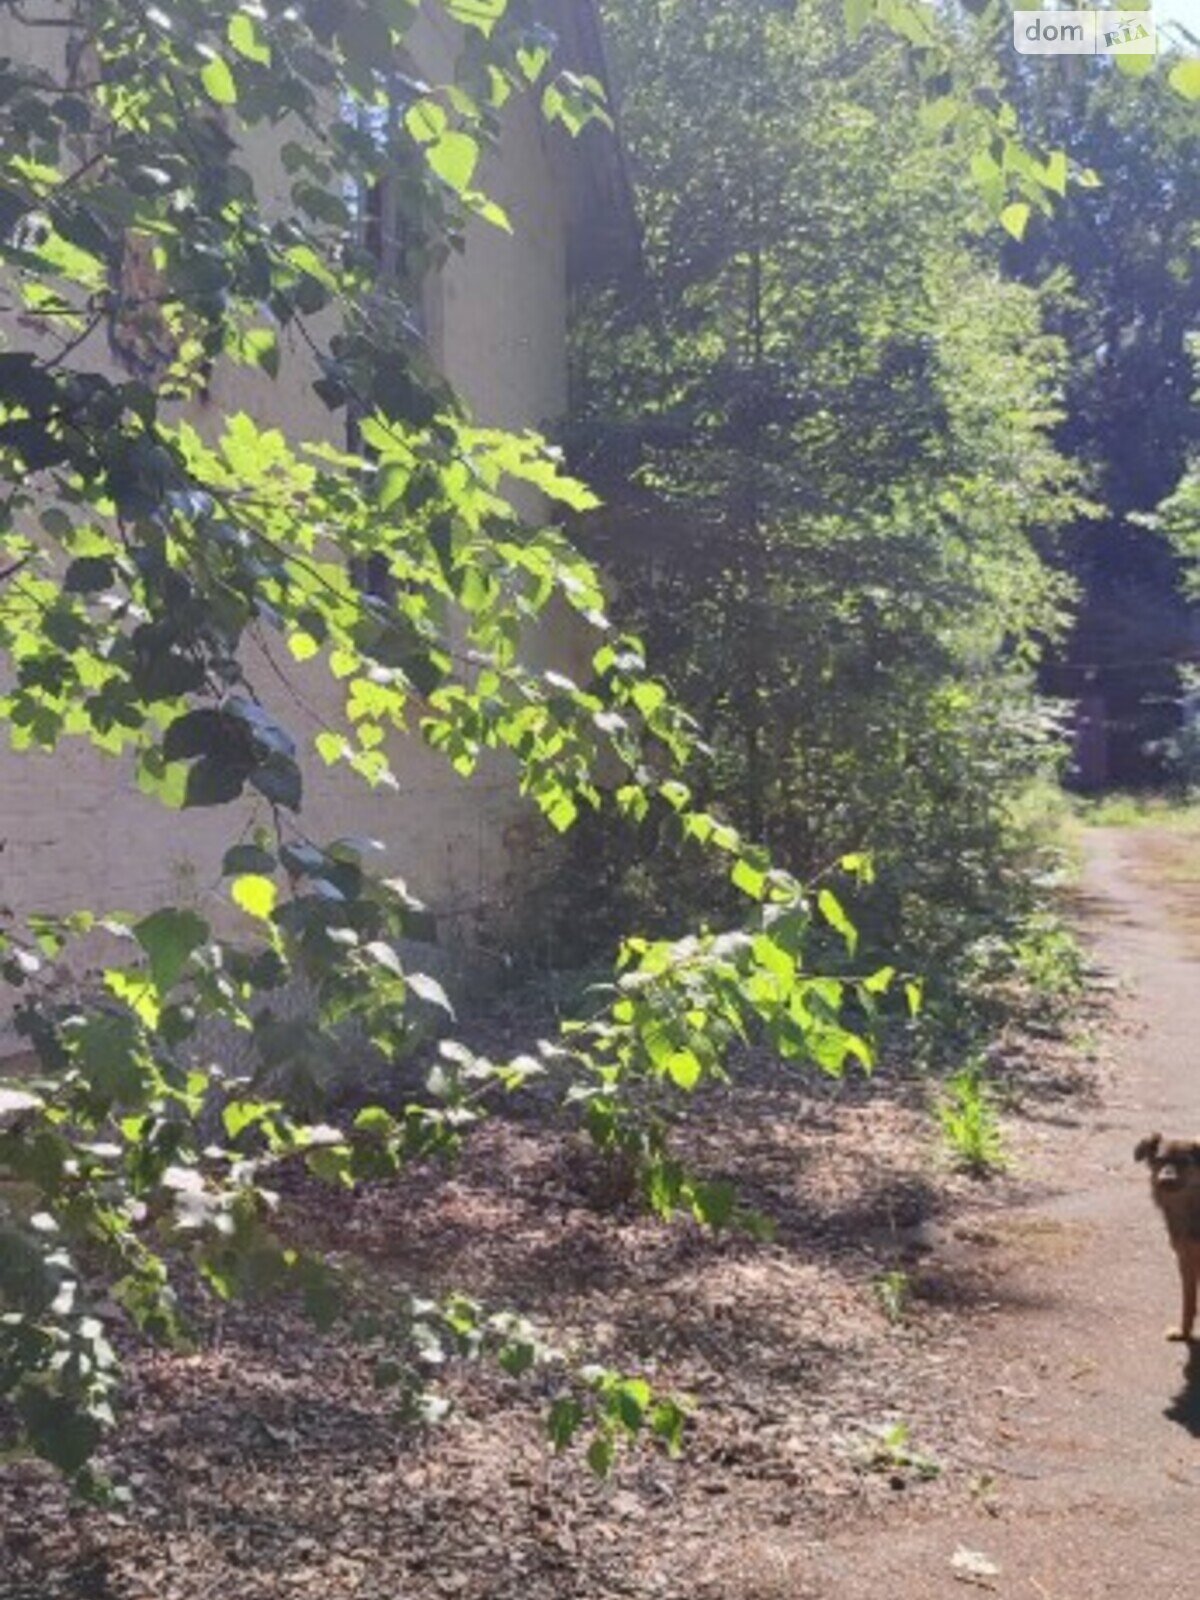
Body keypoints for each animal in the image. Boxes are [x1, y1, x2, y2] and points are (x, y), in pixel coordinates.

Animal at [1139, 1132, 1200, 1344]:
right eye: (1159, 1159)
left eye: (1185, 1161)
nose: (1166, 1178)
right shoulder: (1185, 1258)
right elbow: (1188, 1301)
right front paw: (1184, 1332)